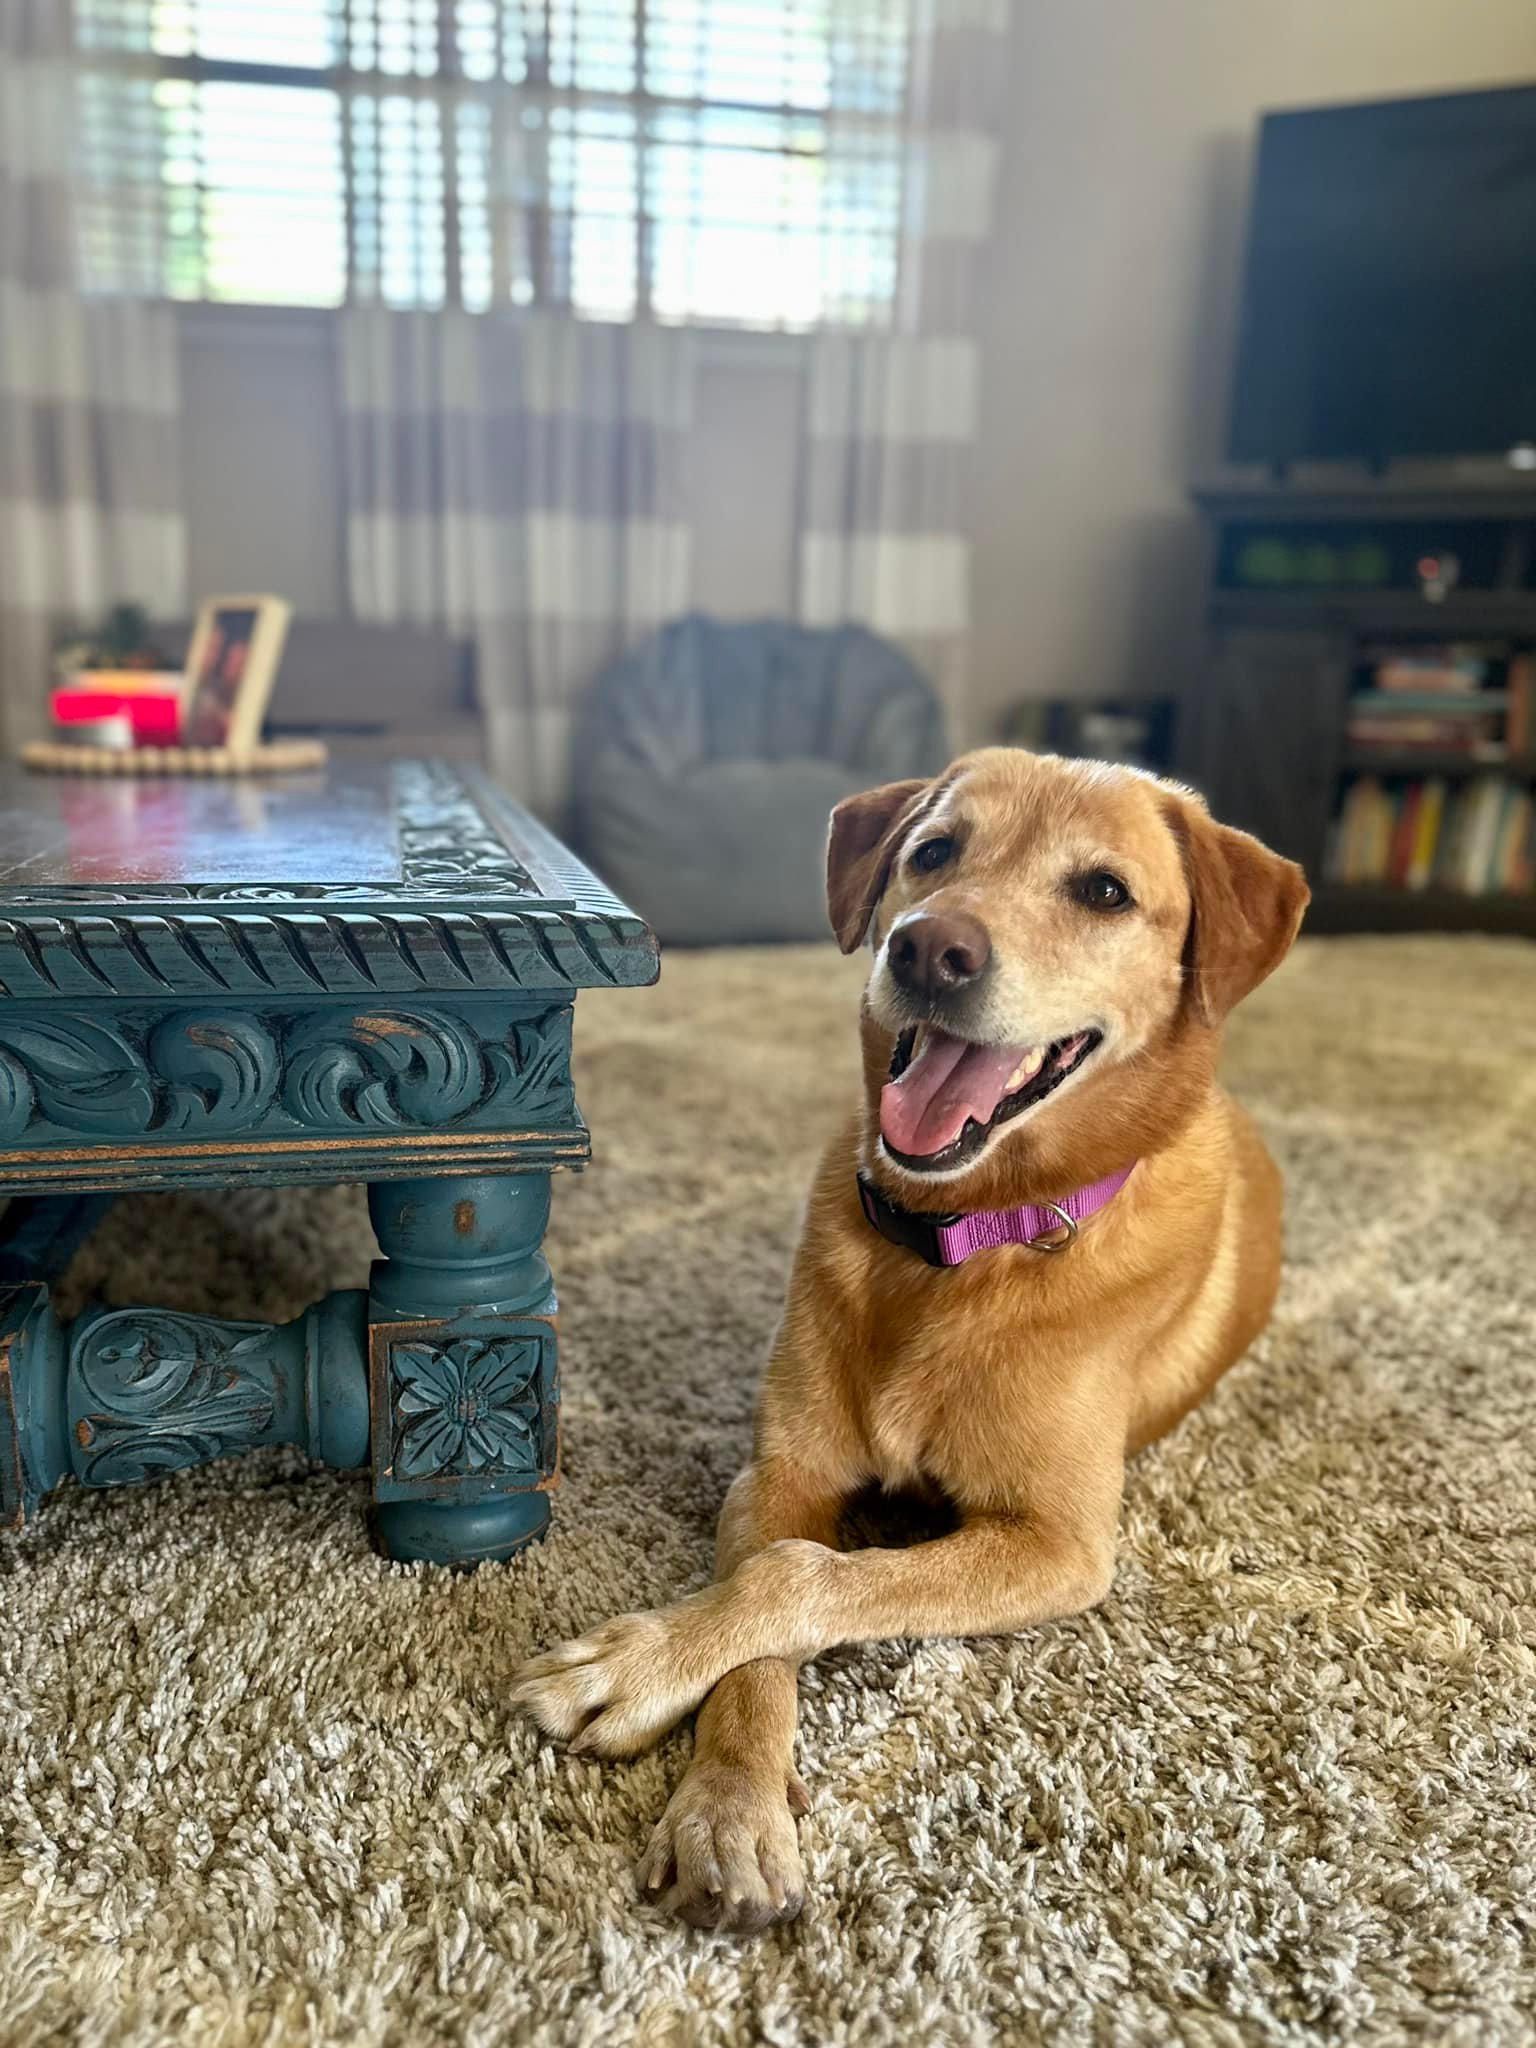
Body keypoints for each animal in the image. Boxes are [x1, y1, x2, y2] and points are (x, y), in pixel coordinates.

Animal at [518, 745, 1310, 1925]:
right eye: (934, 851)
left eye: (1105, 891)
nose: (932, 947)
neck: (959, 1246)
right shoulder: (781, 1472)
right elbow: (767, 1604)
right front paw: (730, 1801)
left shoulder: (1059, 1545)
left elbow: (801, 1579)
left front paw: (631, 1665)